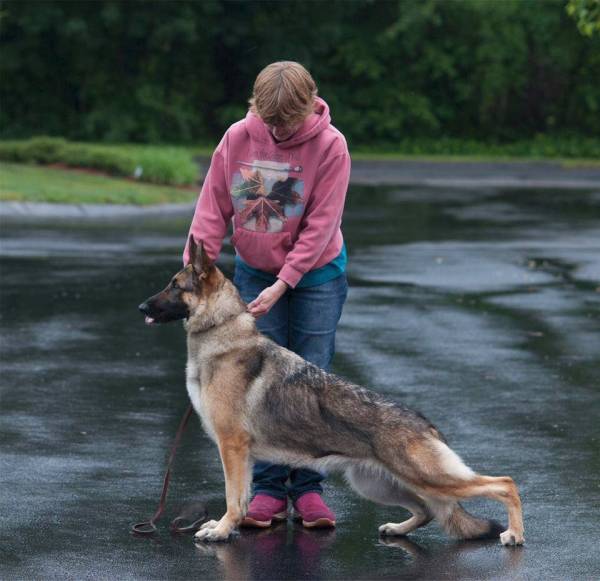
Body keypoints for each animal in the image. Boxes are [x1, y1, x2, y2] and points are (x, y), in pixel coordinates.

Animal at [138, 236, 524, 544]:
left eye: (175, 286)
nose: (141, 306)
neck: (223, 331)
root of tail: (425, 424)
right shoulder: (240, 456)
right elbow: (241, 497)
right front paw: (224, 526)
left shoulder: (231, 448)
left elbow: (234, 499)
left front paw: (220, 530)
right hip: (379, 485)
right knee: (428, 511)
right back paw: (397, 529)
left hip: (429, 478)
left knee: (505, 483)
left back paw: (514, 534)